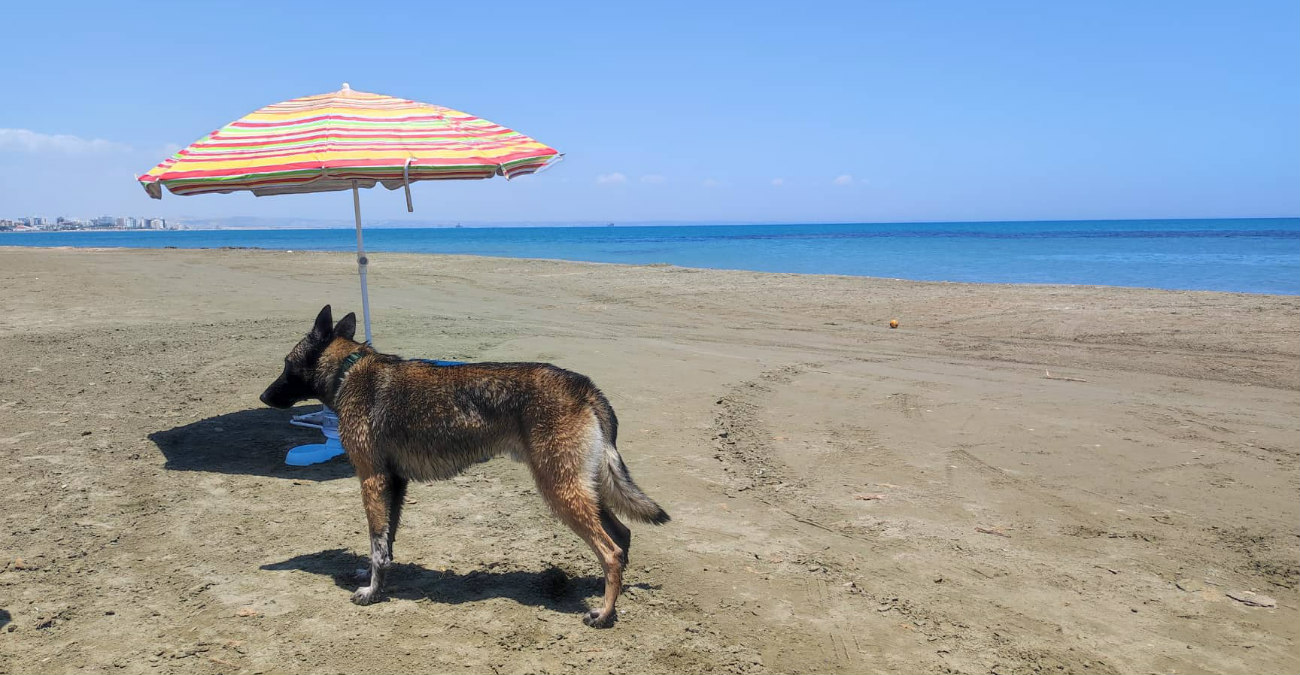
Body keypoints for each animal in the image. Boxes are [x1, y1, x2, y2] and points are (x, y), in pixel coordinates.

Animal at [260, 306, 676, 629]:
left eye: (286, 365)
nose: (263, 396)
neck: (350, 370)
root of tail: (584, 386)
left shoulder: (372, 481)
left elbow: (377, 543)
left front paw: (372, 592)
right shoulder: (394, 483)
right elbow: (386, 542)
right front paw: (374, 577)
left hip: (561, 491)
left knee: (610, 550)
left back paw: (603, 614)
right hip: (582, 489)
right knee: (621, 538)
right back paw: (607, 597)